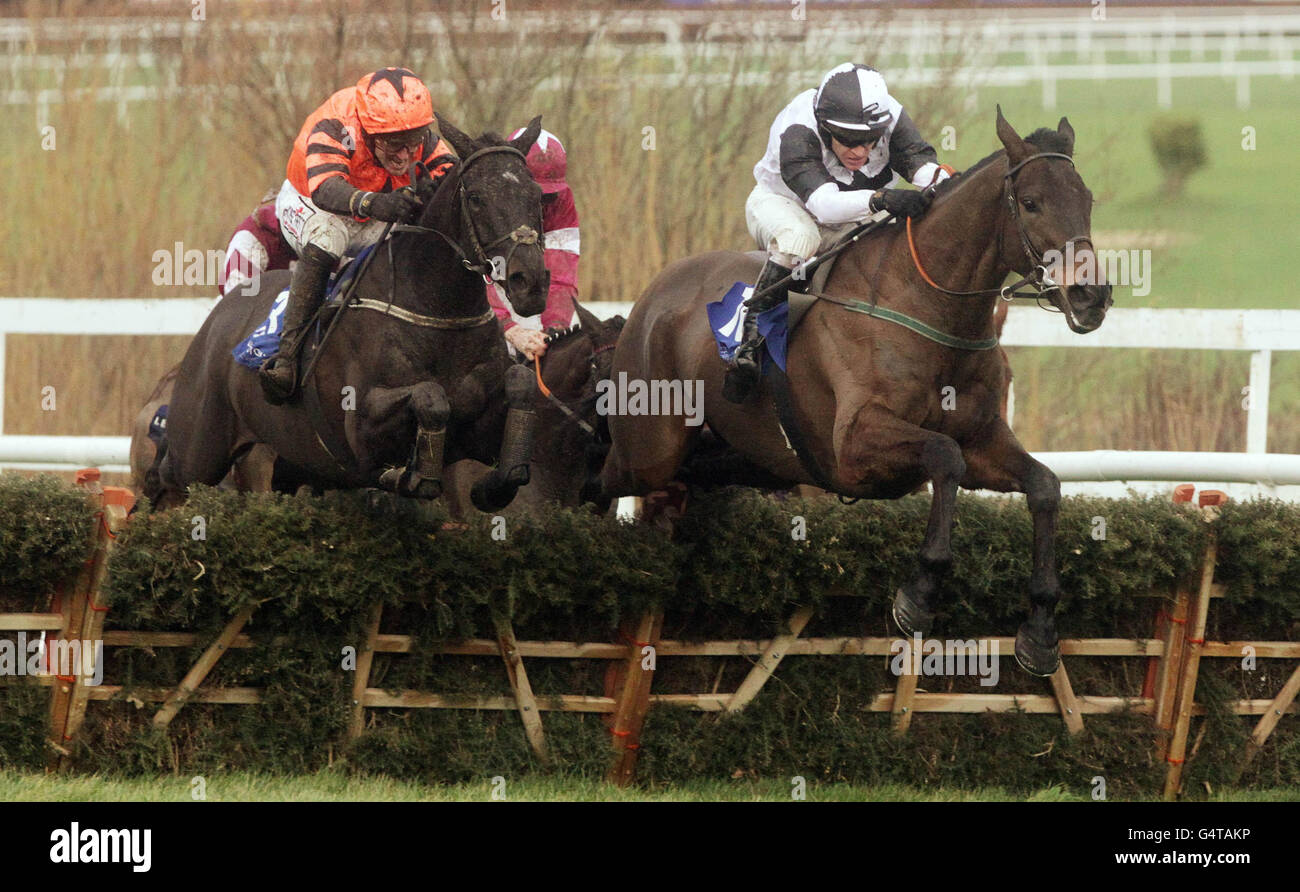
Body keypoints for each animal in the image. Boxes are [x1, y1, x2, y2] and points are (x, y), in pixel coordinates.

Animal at [147, 117, 553, 517]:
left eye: (537, 196)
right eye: (476, 198)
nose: (530, 282)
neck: (437, 313)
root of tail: (219, 314)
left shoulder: (480, 429)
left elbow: (521, 388)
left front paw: (493, 485)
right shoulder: (361, 430)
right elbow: (430, 396)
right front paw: (413, 476)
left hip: (289, 463)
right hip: (199, 451)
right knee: (167, 480)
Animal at [585, 108, 1112, 676]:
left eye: (1086, 199)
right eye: (1032, 201)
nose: (1091, 295)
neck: (927, 305)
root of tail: (652, 295)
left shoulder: (983, 440)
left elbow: (1043, 485)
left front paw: (1040, 628)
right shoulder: (855, 445)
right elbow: (944, 456)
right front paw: (919, 593)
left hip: (740, 456)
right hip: (650, 447)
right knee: (603, 479)